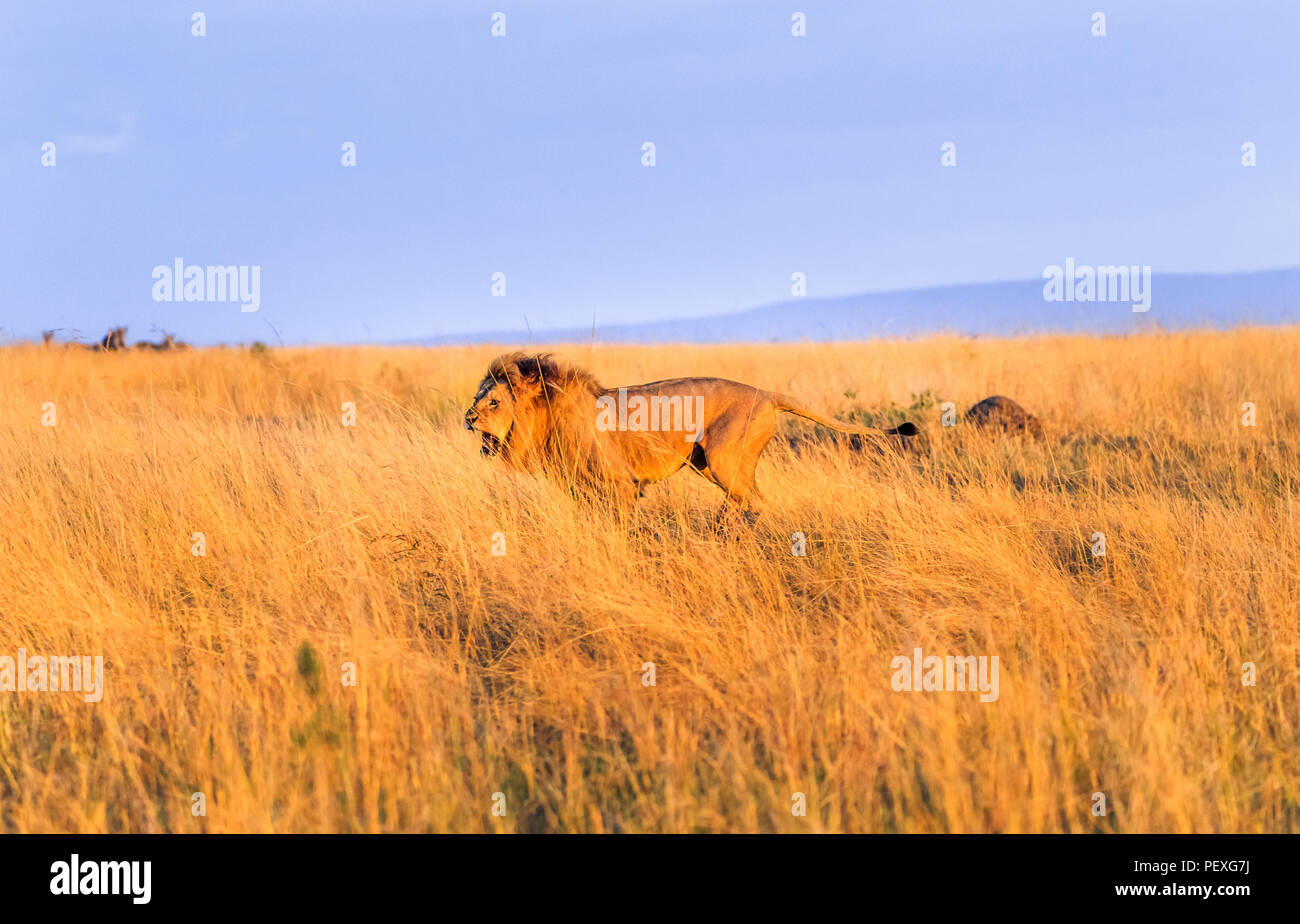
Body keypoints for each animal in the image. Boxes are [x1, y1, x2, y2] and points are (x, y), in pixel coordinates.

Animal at [462, 353, 920, 517]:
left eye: (494, 403)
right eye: (478, 396)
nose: (467, 419)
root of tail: (767, 394)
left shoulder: (621, 484)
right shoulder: (581, 488)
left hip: (722, 459)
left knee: (752, 500)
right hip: (707, 463)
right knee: (750, 498)